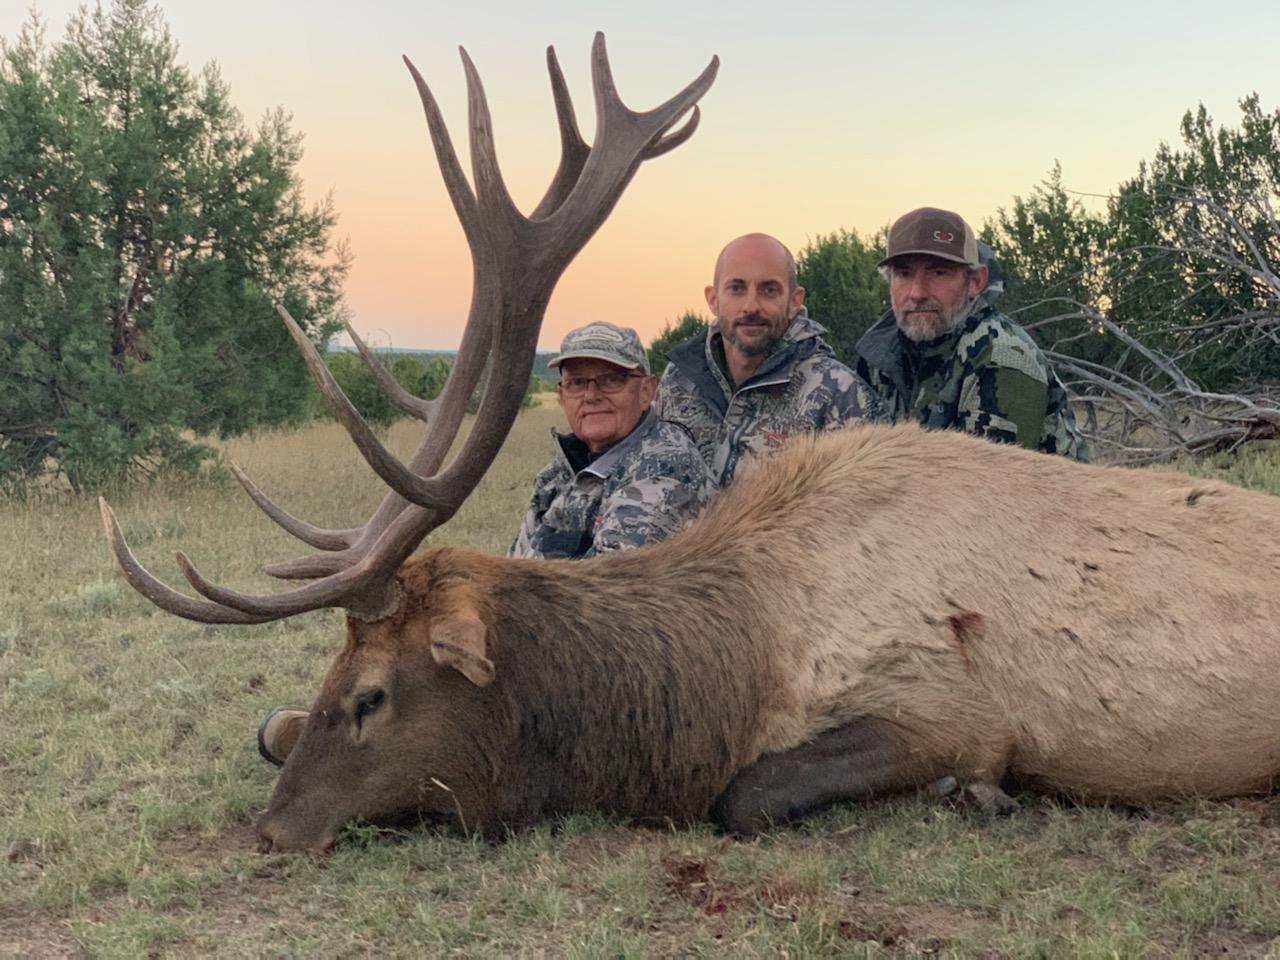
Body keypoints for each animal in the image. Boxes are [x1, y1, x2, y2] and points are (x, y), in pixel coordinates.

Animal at [100, 36, 1280, 855]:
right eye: (329, 674)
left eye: (372, 696)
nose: (271, 830)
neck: (721, 670)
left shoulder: (951, 707)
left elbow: (743, 795)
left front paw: (972, 797)